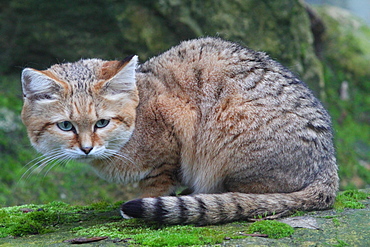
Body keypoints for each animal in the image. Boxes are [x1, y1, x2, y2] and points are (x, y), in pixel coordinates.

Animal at [20, 37, 338, 225]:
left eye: (102, 123)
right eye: (66, 126)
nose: (86, 148)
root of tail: (329, 169)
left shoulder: (175, 128)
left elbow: (158, 181)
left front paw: (144, 202)